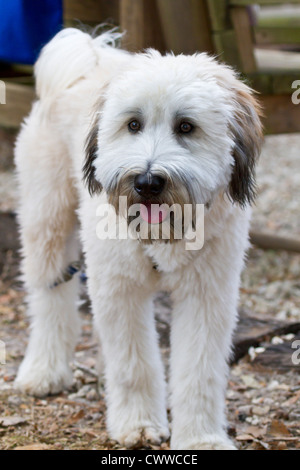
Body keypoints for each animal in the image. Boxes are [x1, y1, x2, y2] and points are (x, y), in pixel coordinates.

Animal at [14, 27, 262, 450]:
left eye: (186, 127)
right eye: (133, 124)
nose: (147, 182)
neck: (164, 233)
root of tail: (91, 57)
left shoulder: (207, 295)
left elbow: (200, 371)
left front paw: (200, 437)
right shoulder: (119, 289)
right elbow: (133, 364)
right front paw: (138, 424)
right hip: (47, 221)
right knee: (50, 299)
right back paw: (44, 370)